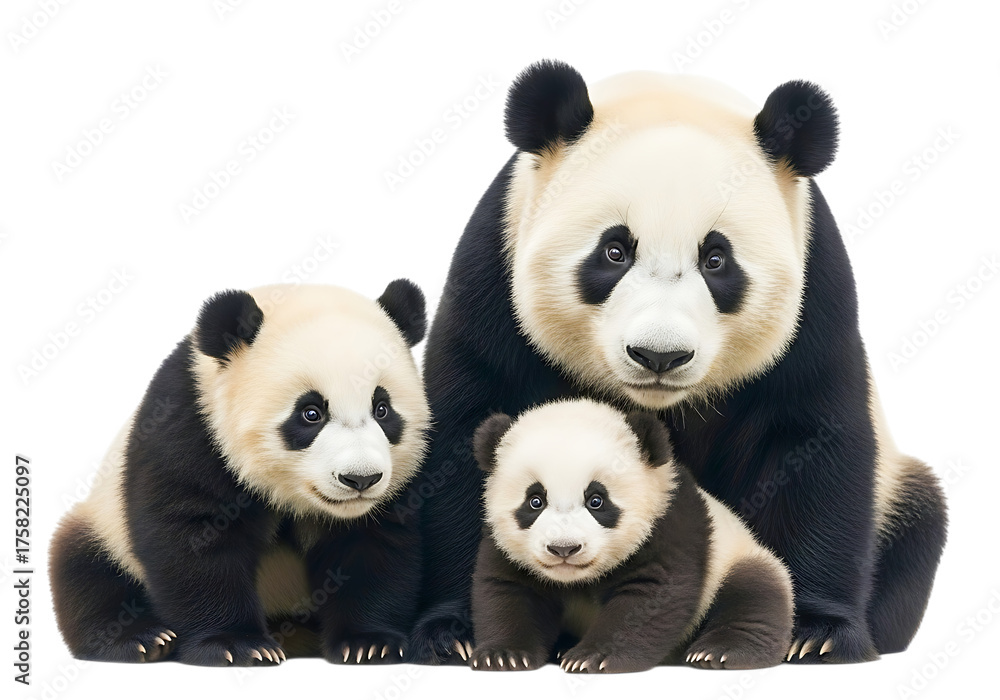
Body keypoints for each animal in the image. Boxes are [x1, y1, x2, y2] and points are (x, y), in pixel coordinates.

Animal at [50, 281, 430, 666]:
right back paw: (140, 638)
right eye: (310, 413)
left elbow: (372, 545)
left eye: (382, 409)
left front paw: (369, 643)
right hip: (105, 521)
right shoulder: (192, 426)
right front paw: (235, 644)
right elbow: (194, 537)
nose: (361, 479)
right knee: (85, 569)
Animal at [468, 399, 793, 672]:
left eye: (596, 500)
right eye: (535, 501)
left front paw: (593, 657)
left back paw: (719, 651)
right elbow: (509, 591)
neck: (577, 579)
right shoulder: (501, 544)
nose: (564, 549)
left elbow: (650, 596)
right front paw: (503, 655)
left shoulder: (668, 523)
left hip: (737, 554)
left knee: (754, 593)